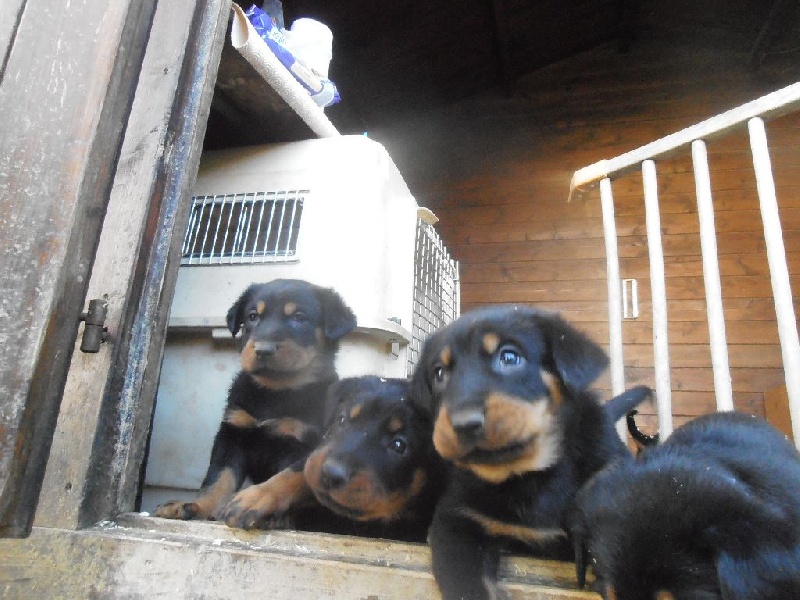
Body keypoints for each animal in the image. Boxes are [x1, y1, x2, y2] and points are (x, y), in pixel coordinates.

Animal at [156, 278, 356, 528]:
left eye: (299, 318)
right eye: (253, 317)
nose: (263, 349)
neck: (275, 392)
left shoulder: (304, 444)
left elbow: (287, 476)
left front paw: (255, 503)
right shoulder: (232, 434)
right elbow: (218, 477)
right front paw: (197, 506)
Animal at [410, 304, 648, 600]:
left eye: (509, 357)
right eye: (439, 373)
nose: (464, 423)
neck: (528, 475)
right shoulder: (457, 519)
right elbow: (466, 582)